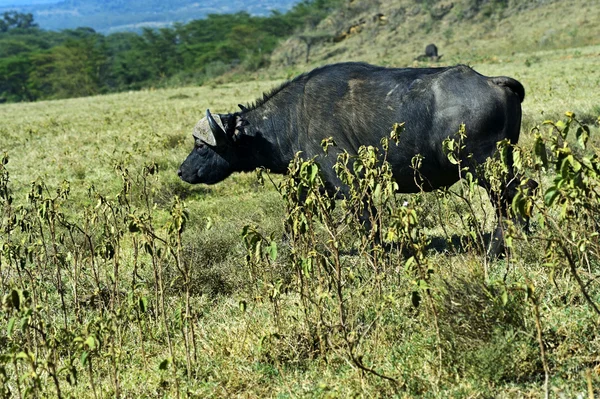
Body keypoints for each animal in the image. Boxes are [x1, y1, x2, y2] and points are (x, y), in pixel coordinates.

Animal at [178, 62, 536, 255]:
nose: (182, 171)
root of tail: (493, 81)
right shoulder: (311, 184)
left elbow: (367, 223)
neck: (292, 118)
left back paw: (496, 249)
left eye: (201, 146)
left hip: (486, 167)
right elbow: (293, 220)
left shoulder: (350, 184)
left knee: (514, 196)